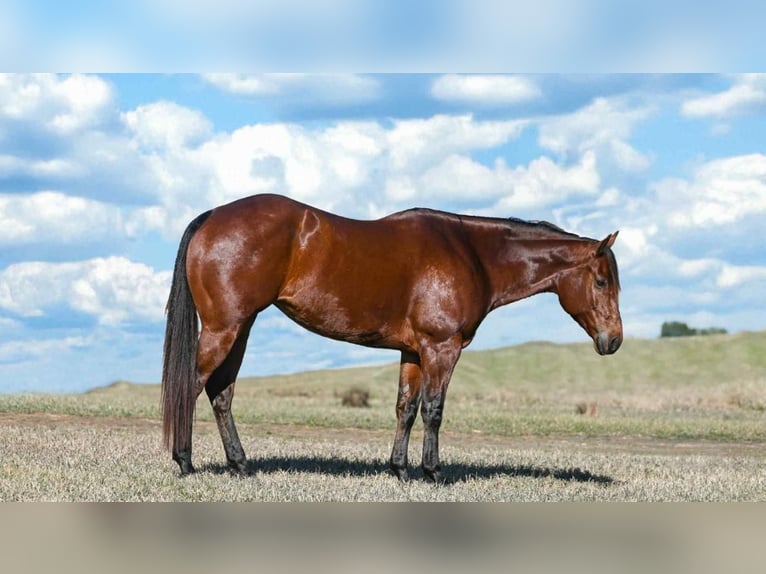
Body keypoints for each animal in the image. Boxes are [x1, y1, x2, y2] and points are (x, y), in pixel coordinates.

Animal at [161, 193, 622, 483]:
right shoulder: (441, 348)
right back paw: (184, 462)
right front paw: (433, 472)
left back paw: (240, 465)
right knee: (192, 386)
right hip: (224, 329)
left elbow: (406, 409)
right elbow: (434, 410)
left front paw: (399, 469)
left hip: (240, 329)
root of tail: (213, 216)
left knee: (221, 393)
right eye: (601, 281)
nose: (613, 341)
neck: (471, 254)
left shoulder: (413, 352)